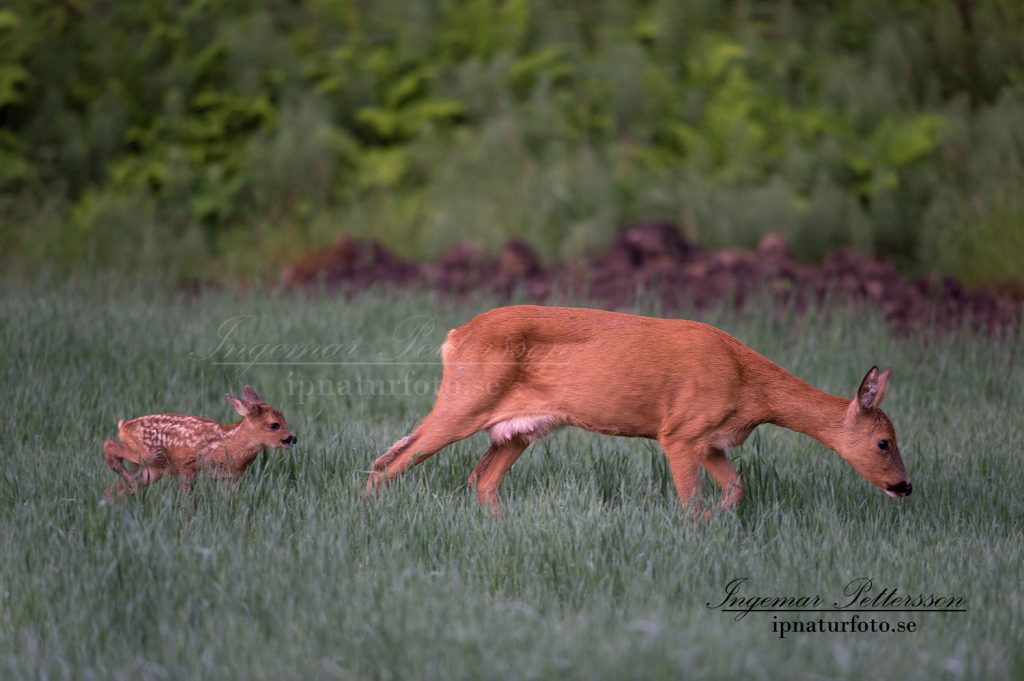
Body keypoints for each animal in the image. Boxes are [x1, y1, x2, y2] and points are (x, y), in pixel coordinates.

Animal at [102, 387, 296, 499]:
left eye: (284, 418)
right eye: (274, 425)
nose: (293, 438)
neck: (228, 444)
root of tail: (124, 425)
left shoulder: (233, 478)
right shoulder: (189, 467)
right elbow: (187, 502)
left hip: (151, 470)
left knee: (112, 489)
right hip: (147, 453)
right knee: (109, 445)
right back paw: (130, 485)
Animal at [368, 305, 913, 512]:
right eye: (884, 442)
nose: (904, 486)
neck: (747, 387)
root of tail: (452, 337)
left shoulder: (711, 440)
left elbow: (736, 489)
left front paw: (723, 528)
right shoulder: (680, 431)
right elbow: (690, 502)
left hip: (519, 428)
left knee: (480, 480)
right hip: (464, 400)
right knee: (389, 461)